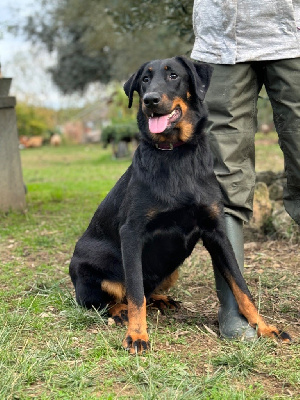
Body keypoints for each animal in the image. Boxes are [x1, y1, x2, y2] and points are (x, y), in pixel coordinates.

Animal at [68, 56, 290, 354]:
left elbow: (241, 287)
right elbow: (135, 293)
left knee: (148, 292)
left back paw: (162, 299)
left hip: (172, 270)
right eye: (144, 80)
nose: (150, 100)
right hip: (90, 271)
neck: (175, 154)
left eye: (173, 75)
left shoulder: (216, 232)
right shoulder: (132, 233)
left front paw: (265, 327)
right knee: (109, 300)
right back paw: (120, 311)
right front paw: (137, 335)